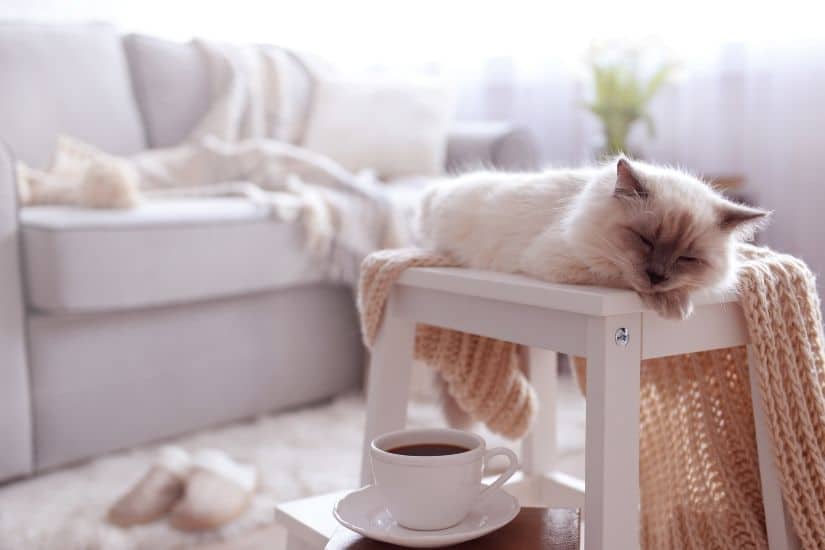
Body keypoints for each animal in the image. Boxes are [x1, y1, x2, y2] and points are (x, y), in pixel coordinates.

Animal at [418, 156, 768, 320]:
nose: (657, 276)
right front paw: (673, 305)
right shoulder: (565, 262)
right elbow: (623, 277)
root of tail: (436, 190)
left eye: (687, 258)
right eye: (645, 240)